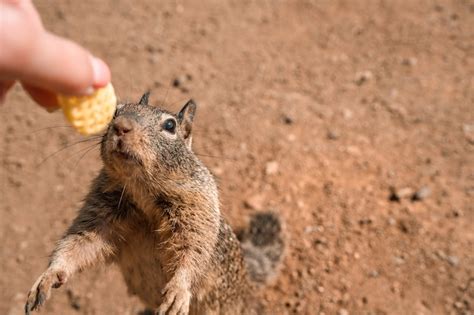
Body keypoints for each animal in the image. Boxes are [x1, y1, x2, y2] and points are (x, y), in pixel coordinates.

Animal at [25, 94, 284, 315]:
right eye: (115, 112)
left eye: (170, 126)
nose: (121, 126)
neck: (143, 192)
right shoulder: (101, 212)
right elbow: (78, 244)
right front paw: (47, 277)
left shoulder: (197, 208)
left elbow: (195, 251)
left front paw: (178, 290)